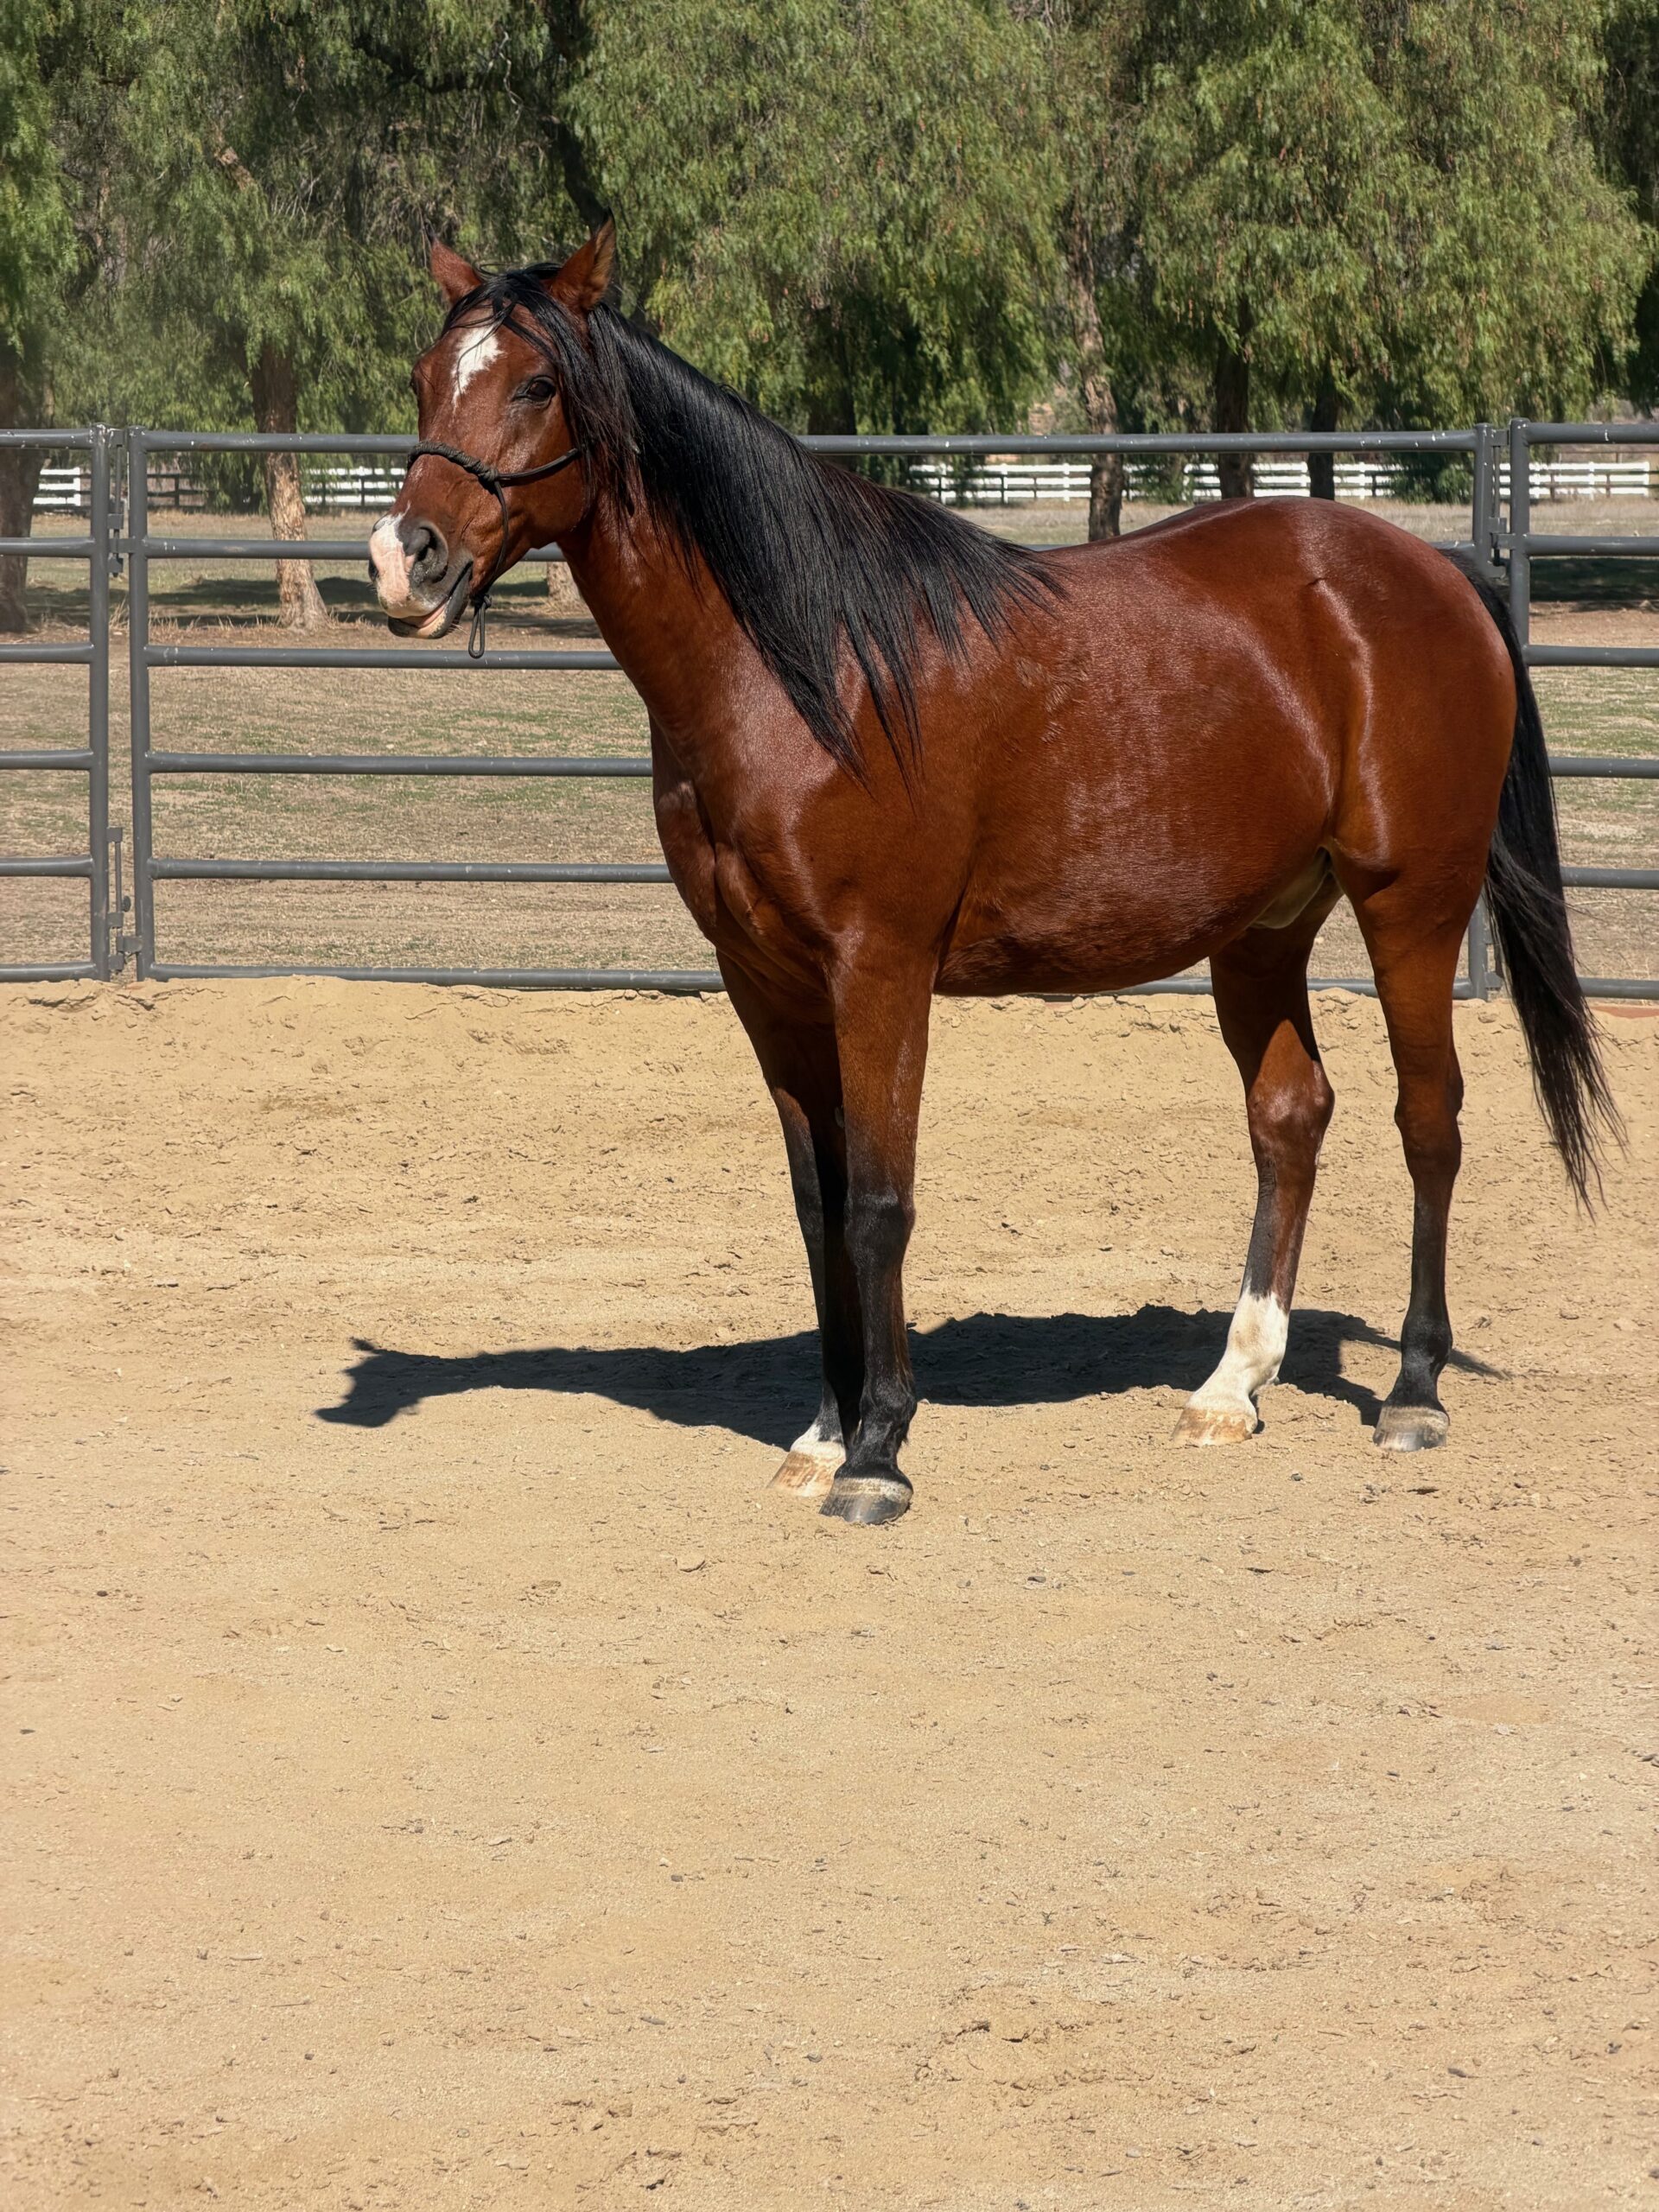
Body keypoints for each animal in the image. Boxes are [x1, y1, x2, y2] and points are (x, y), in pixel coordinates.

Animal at [370, 222, 1618, 1527]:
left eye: (535, 384)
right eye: (425, 377)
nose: (405, 560)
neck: (808, 669)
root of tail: (1434, 575)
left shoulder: (879, 970)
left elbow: (880, 1203)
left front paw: (877, 1452)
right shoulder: (764, 984)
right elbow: (817, 1206)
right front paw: (822, 1433)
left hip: (1410, 904)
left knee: (1430, 1121)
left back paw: (1415, 1390)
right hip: (1263, 928)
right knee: (1290, 1117)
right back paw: (1232, 1385)